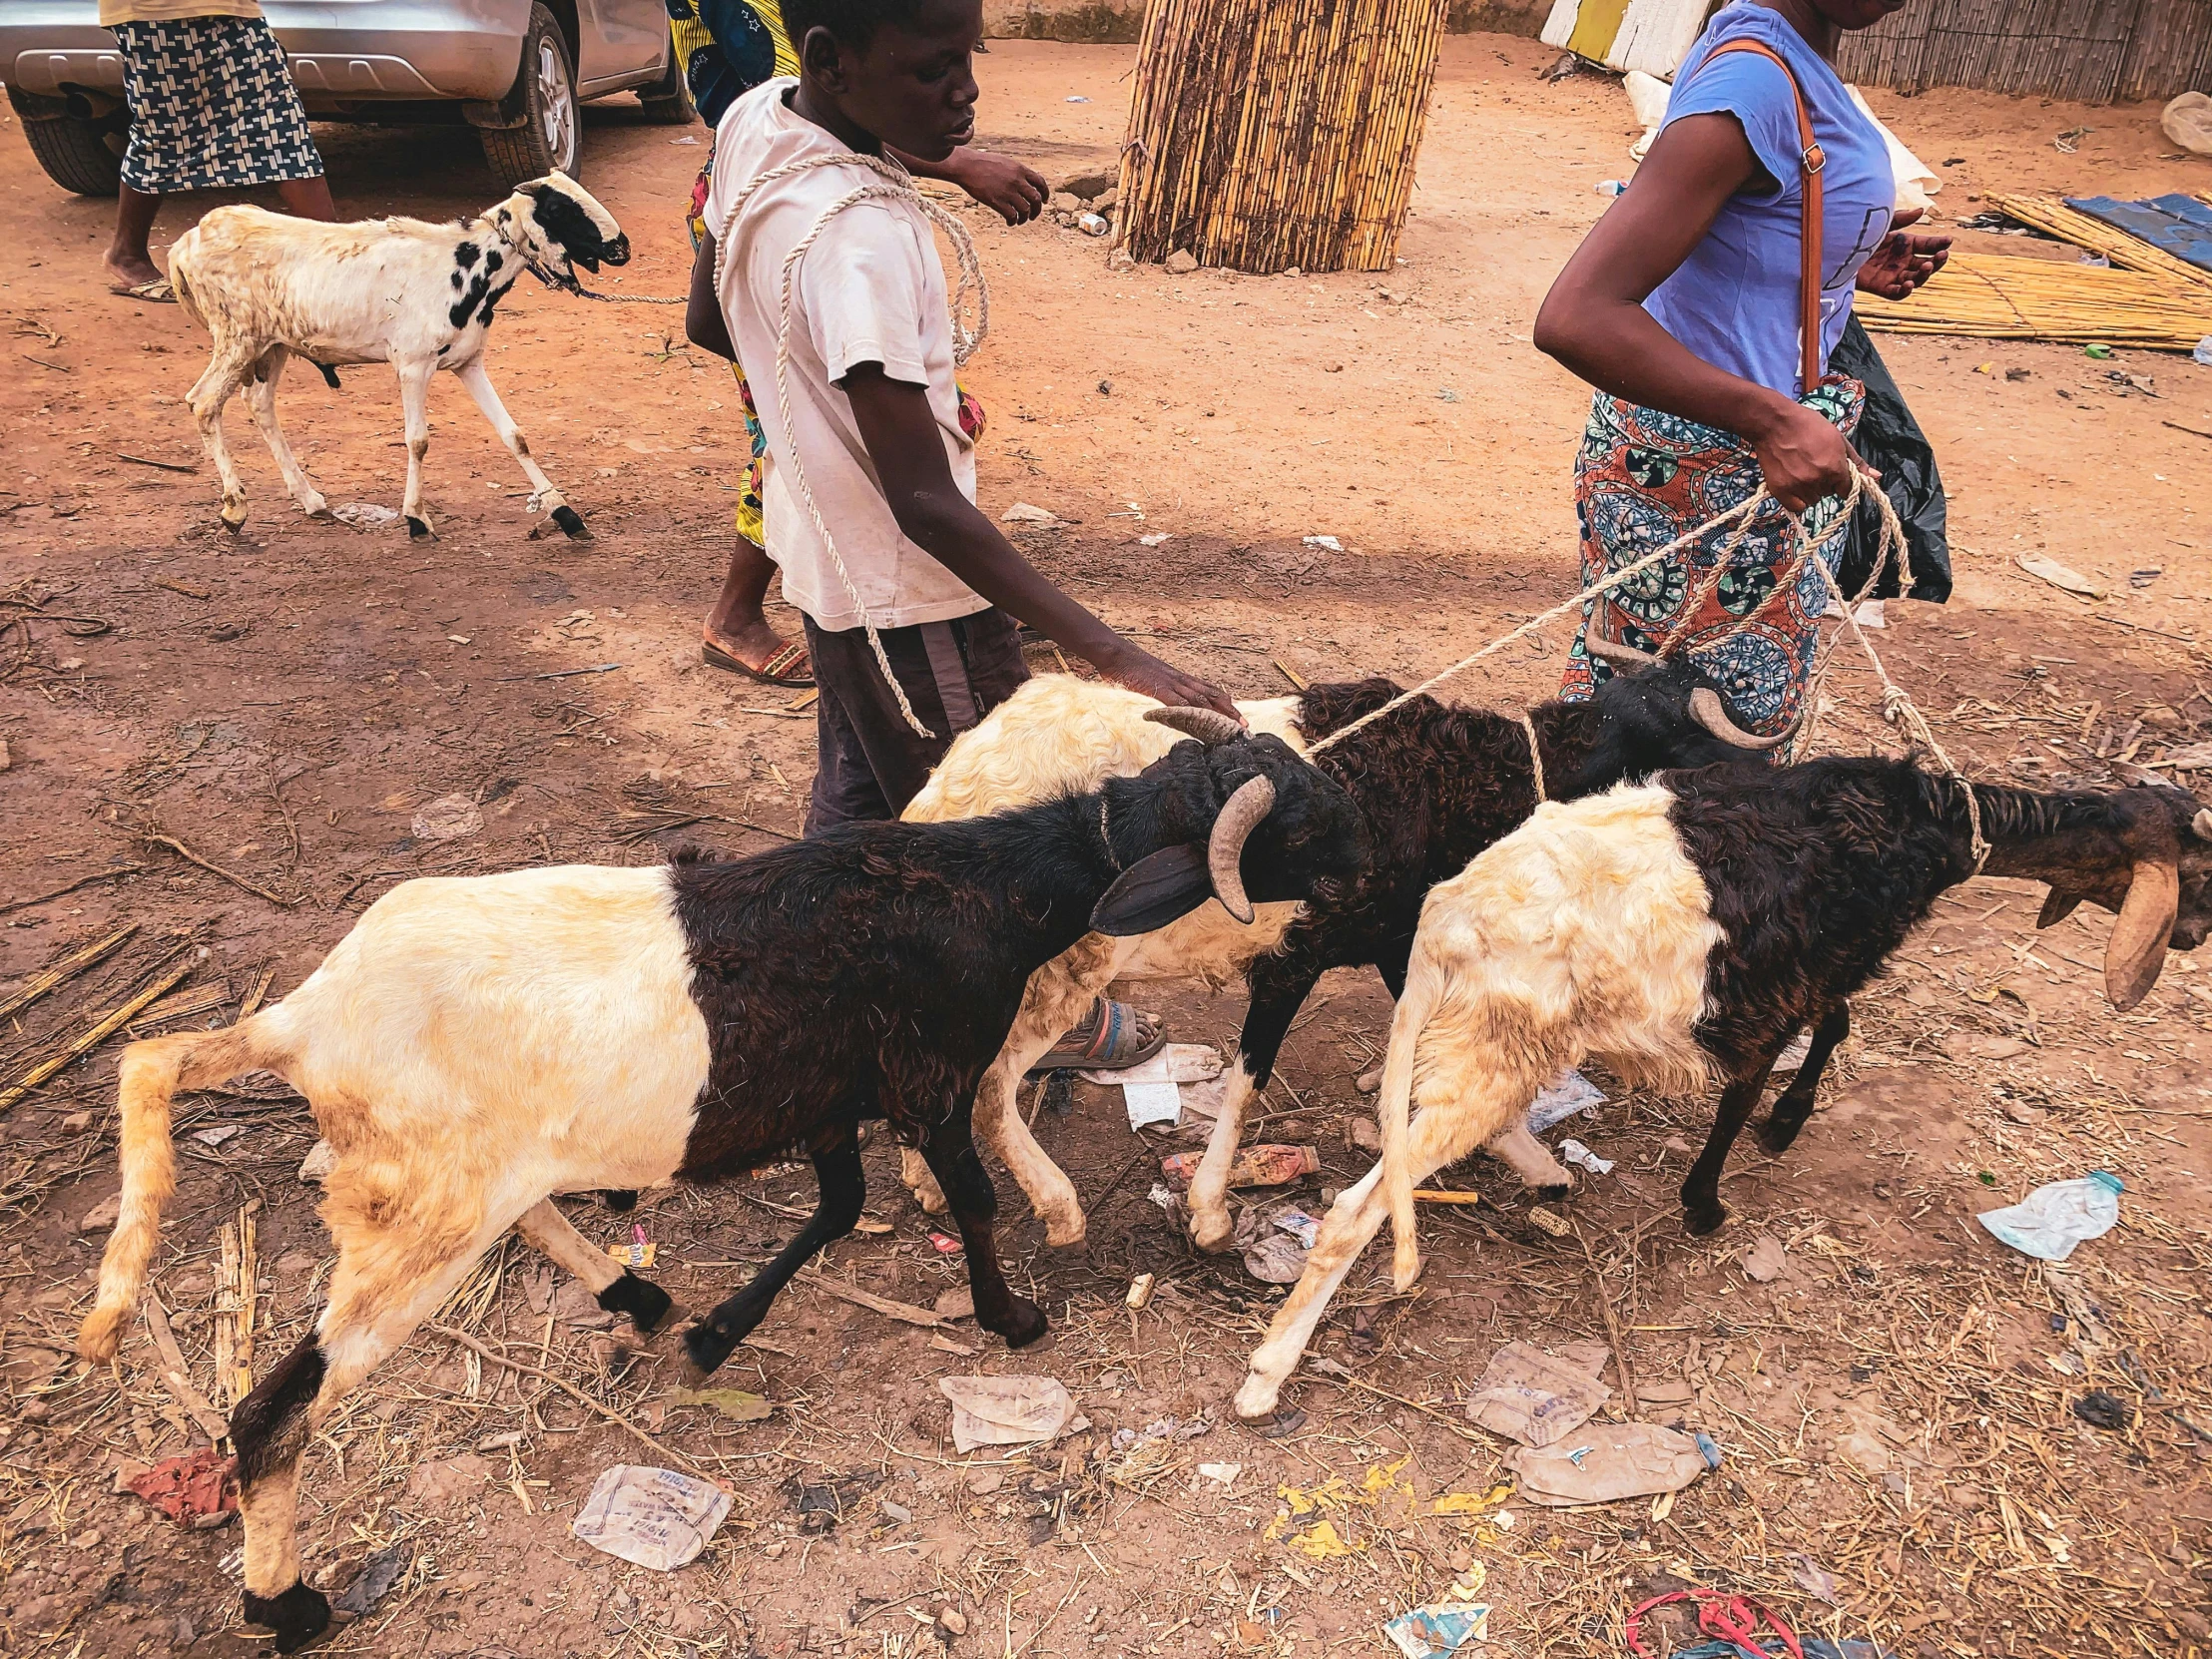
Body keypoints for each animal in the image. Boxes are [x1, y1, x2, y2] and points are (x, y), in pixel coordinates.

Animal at [78, 734, 1363, 1654]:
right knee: (272, 1413)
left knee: (529, 1212)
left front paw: (716, 1332)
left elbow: (836, 1208)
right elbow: (968, 1201)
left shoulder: (830, 1098)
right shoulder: (930, 1079)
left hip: (472, 1174)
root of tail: (301, 1023)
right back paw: (284, 1606)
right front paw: (1013, 1319)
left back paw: (635, 1301)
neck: (980, 885)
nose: (1369, 869)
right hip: (417, 1213)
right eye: (1298, 826)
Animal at [166, 175, 623, 539]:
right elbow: (418, 441)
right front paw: (416, 519)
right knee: (204, 403)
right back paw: (234, 508)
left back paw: (310, 498)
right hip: (236, 336)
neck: (465, 264)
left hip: (272, 344)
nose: (622, 248)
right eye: (559, 208)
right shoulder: (413, 365)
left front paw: (565, 514)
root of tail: (185, 243)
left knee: (258, 403)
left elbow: (515, 436)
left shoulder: (468, 362)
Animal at [893, 646, 1778, 1247]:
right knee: (992, 1085)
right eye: (1699, 741)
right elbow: (1248, 1081)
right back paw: (1057, 1206)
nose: (1771, 783)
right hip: (1054, 975)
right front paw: (1210, 1213)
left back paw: (924, 1183)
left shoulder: (1394, 939)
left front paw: (1529, 1160)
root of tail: (944, 793)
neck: (1455, 784)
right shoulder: (1298, 957)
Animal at [1230, 761, 2212, 1424]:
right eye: (2197, 865)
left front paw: (1779, 1126)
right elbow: (1759, 1079)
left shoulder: (1808, 971)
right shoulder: (1787, 981)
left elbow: (1834, 1026)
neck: (1922, 827)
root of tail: (1444, 920)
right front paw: (1716, 1191)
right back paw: (1267, 1374)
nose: (2196, 935)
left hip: (1490, 1041)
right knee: (1358, 1207)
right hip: (1501, 1043)